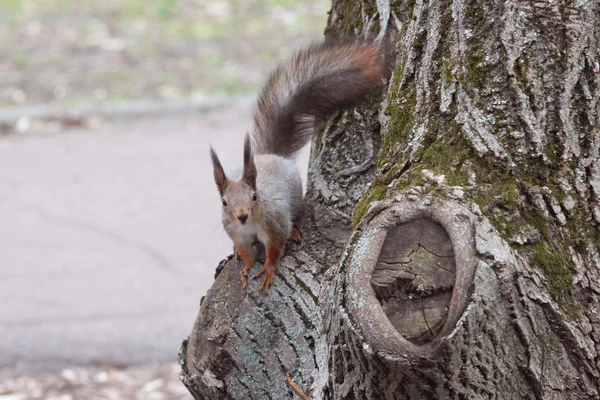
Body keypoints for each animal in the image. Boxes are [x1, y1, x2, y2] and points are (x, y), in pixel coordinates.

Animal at [210, 39, 390, 292]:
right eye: (224, 202)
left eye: (255, 196)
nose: (242, 216)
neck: (249, 226)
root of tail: (274, 156)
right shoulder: (237, 233)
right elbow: (246, 253)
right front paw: (246, 267)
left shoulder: (275, 225)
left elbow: (275, 249)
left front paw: (268, 269)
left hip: (294, 198)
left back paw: (294, 230)